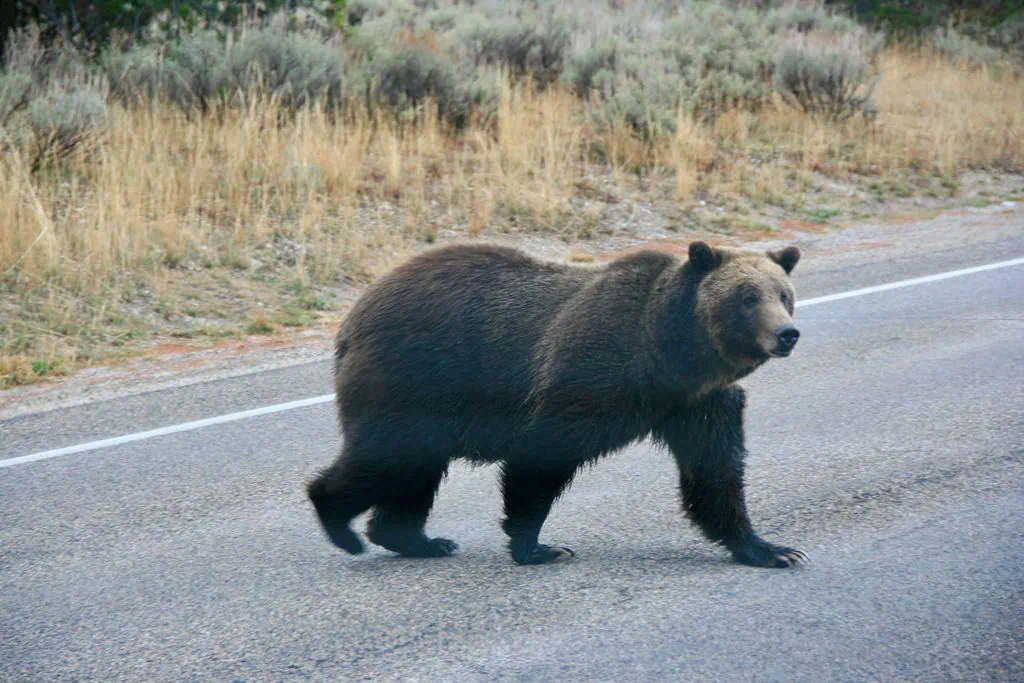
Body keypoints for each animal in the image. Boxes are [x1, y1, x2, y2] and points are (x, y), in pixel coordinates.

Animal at [306, 239, 807, 568]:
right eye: (746, 297)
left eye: (783, 294)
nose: (787, 333)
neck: (666, 356)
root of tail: (355, 314)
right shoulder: (590, 375)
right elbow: (543, 455)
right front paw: (538, 546)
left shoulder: (699, 403)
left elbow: (716, 473)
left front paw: (771, 548)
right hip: (410, 378)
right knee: (386, 459)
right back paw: (340, 523)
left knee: (413, 470)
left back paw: (415, 539)